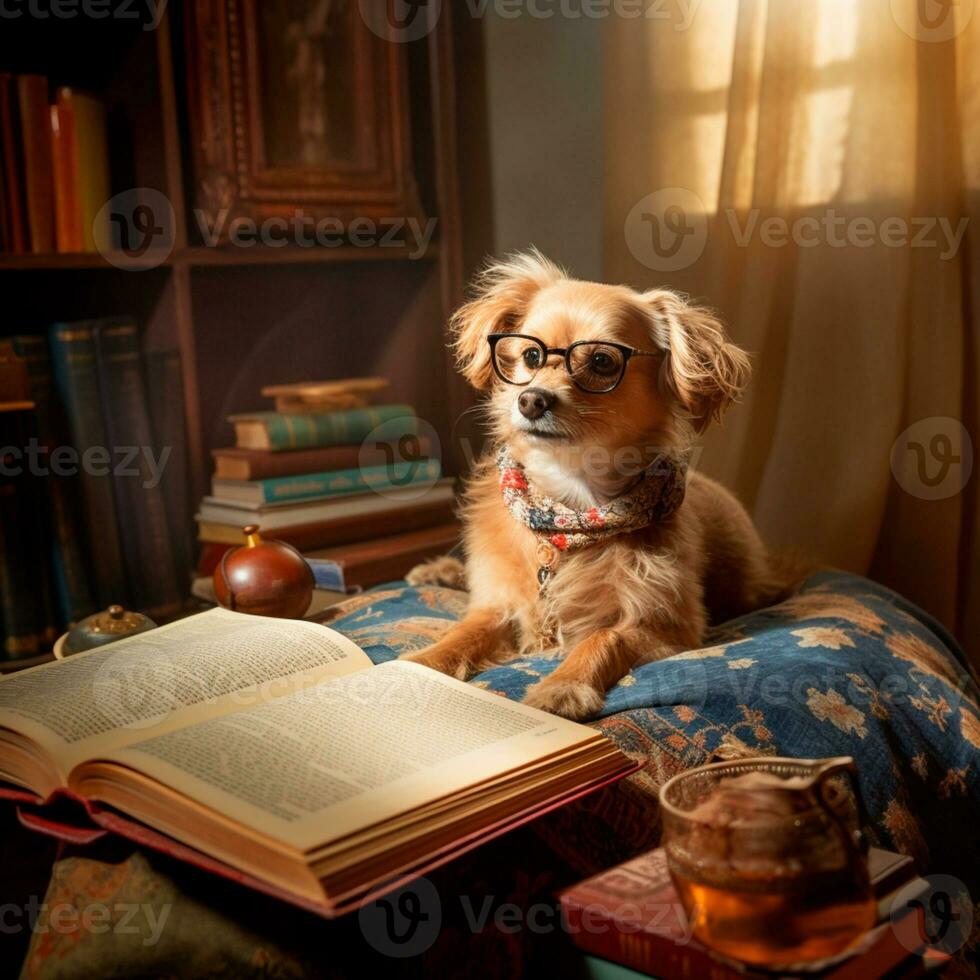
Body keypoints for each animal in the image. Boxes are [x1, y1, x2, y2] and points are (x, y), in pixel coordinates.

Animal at [402, 249, 792, 716]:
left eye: (602, 362)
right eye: (531, 356)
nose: (530, 400)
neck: (568, 507)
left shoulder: (668, 627)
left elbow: (603, 637)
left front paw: (563, 685)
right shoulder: (498, 604)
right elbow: (464, 632)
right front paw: (418, 664)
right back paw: (439, 571)